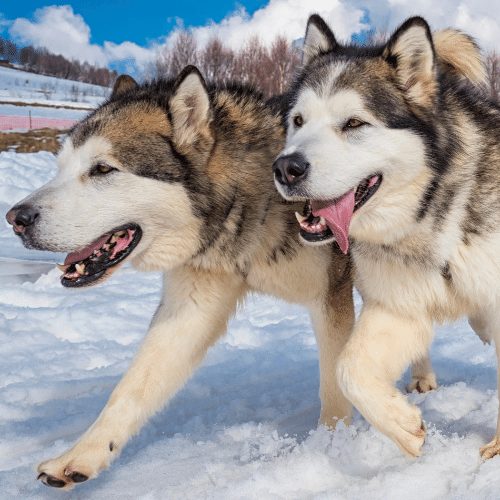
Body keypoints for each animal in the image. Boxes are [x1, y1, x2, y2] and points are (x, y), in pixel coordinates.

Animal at [274, 14, 500, 460]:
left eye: (354, 123)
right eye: (298, 121)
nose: (286, 168)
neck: (429, 215)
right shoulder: (396, 306)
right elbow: (348, 368)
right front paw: (402, 427)